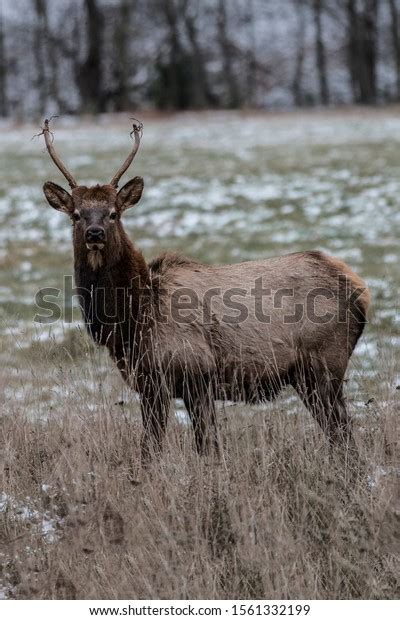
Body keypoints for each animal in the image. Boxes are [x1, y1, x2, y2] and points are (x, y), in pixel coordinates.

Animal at [40, 118, 368, 462]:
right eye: (76, 214)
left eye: (114, 213)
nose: (95, 233)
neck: (132, 320)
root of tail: (359, 290)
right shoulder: (149, 382)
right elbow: (158, 448)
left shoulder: (194, 373)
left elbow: (197, 447)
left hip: (323, 363)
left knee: (343, 432)